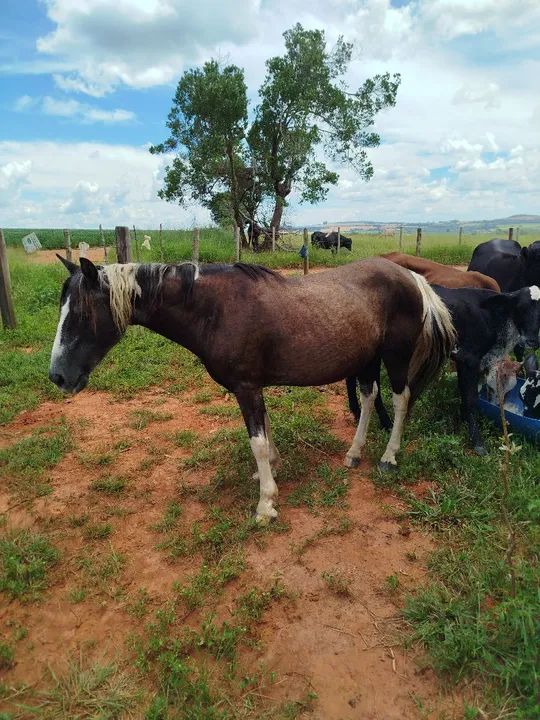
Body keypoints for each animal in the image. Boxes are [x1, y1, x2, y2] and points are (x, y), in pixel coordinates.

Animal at [49, 256, 455, 522]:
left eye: (82, 314)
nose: (58, 376)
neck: (214, 309)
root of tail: (412, 277)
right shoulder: (253, 388)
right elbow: (266, 432)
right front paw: (268, 471)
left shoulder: (247, 388)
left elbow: (256, 442)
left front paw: (266, 504)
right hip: (366, 360)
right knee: (370, 398)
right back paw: (354, 453)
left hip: (395, 357)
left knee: (401, 400)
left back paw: (389, 456)